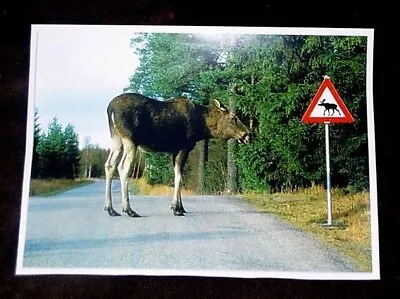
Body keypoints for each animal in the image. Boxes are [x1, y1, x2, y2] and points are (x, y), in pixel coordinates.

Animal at [104, 93, 250, 218]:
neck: (202, 127)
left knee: (109, 165)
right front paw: (176, 208)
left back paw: (110, 208)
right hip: (130, 140)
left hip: (116, 138)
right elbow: (179, 177)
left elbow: (178, 175)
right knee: (123, 168)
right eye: (233, 118)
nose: (248, 134)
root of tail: (110, 109)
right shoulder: (183, 147)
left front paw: (181, 207)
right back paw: (128, 209)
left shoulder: (175, 150)